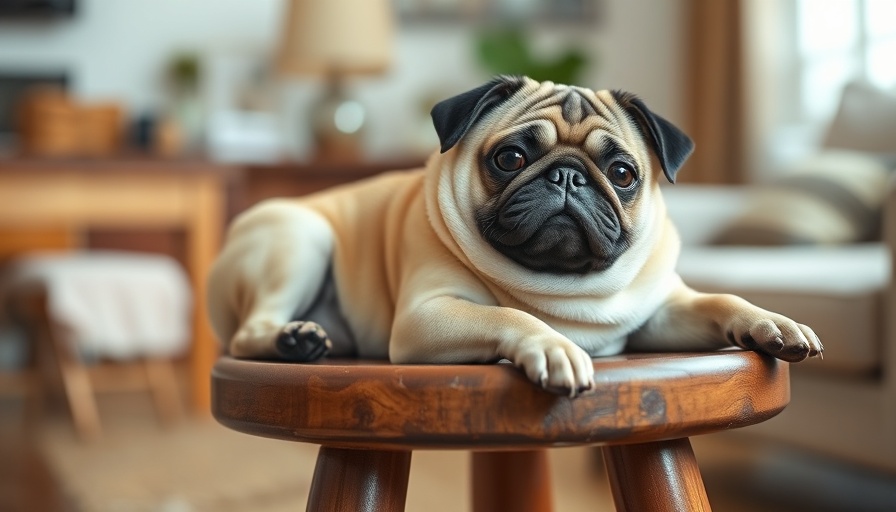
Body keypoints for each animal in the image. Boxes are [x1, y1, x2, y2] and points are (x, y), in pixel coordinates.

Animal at [206, 75, 824, 396]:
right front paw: (553, 346)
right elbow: (509, 314)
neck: (562, 285)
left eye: (623, 173)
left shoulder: (662, 314)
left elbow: (720, 299)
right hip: (300, 236)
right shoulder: (427, 316)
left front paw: (771, 322)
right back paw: (294, 340)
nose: (569, 175)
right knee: (245, 334)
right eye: (511, 158)